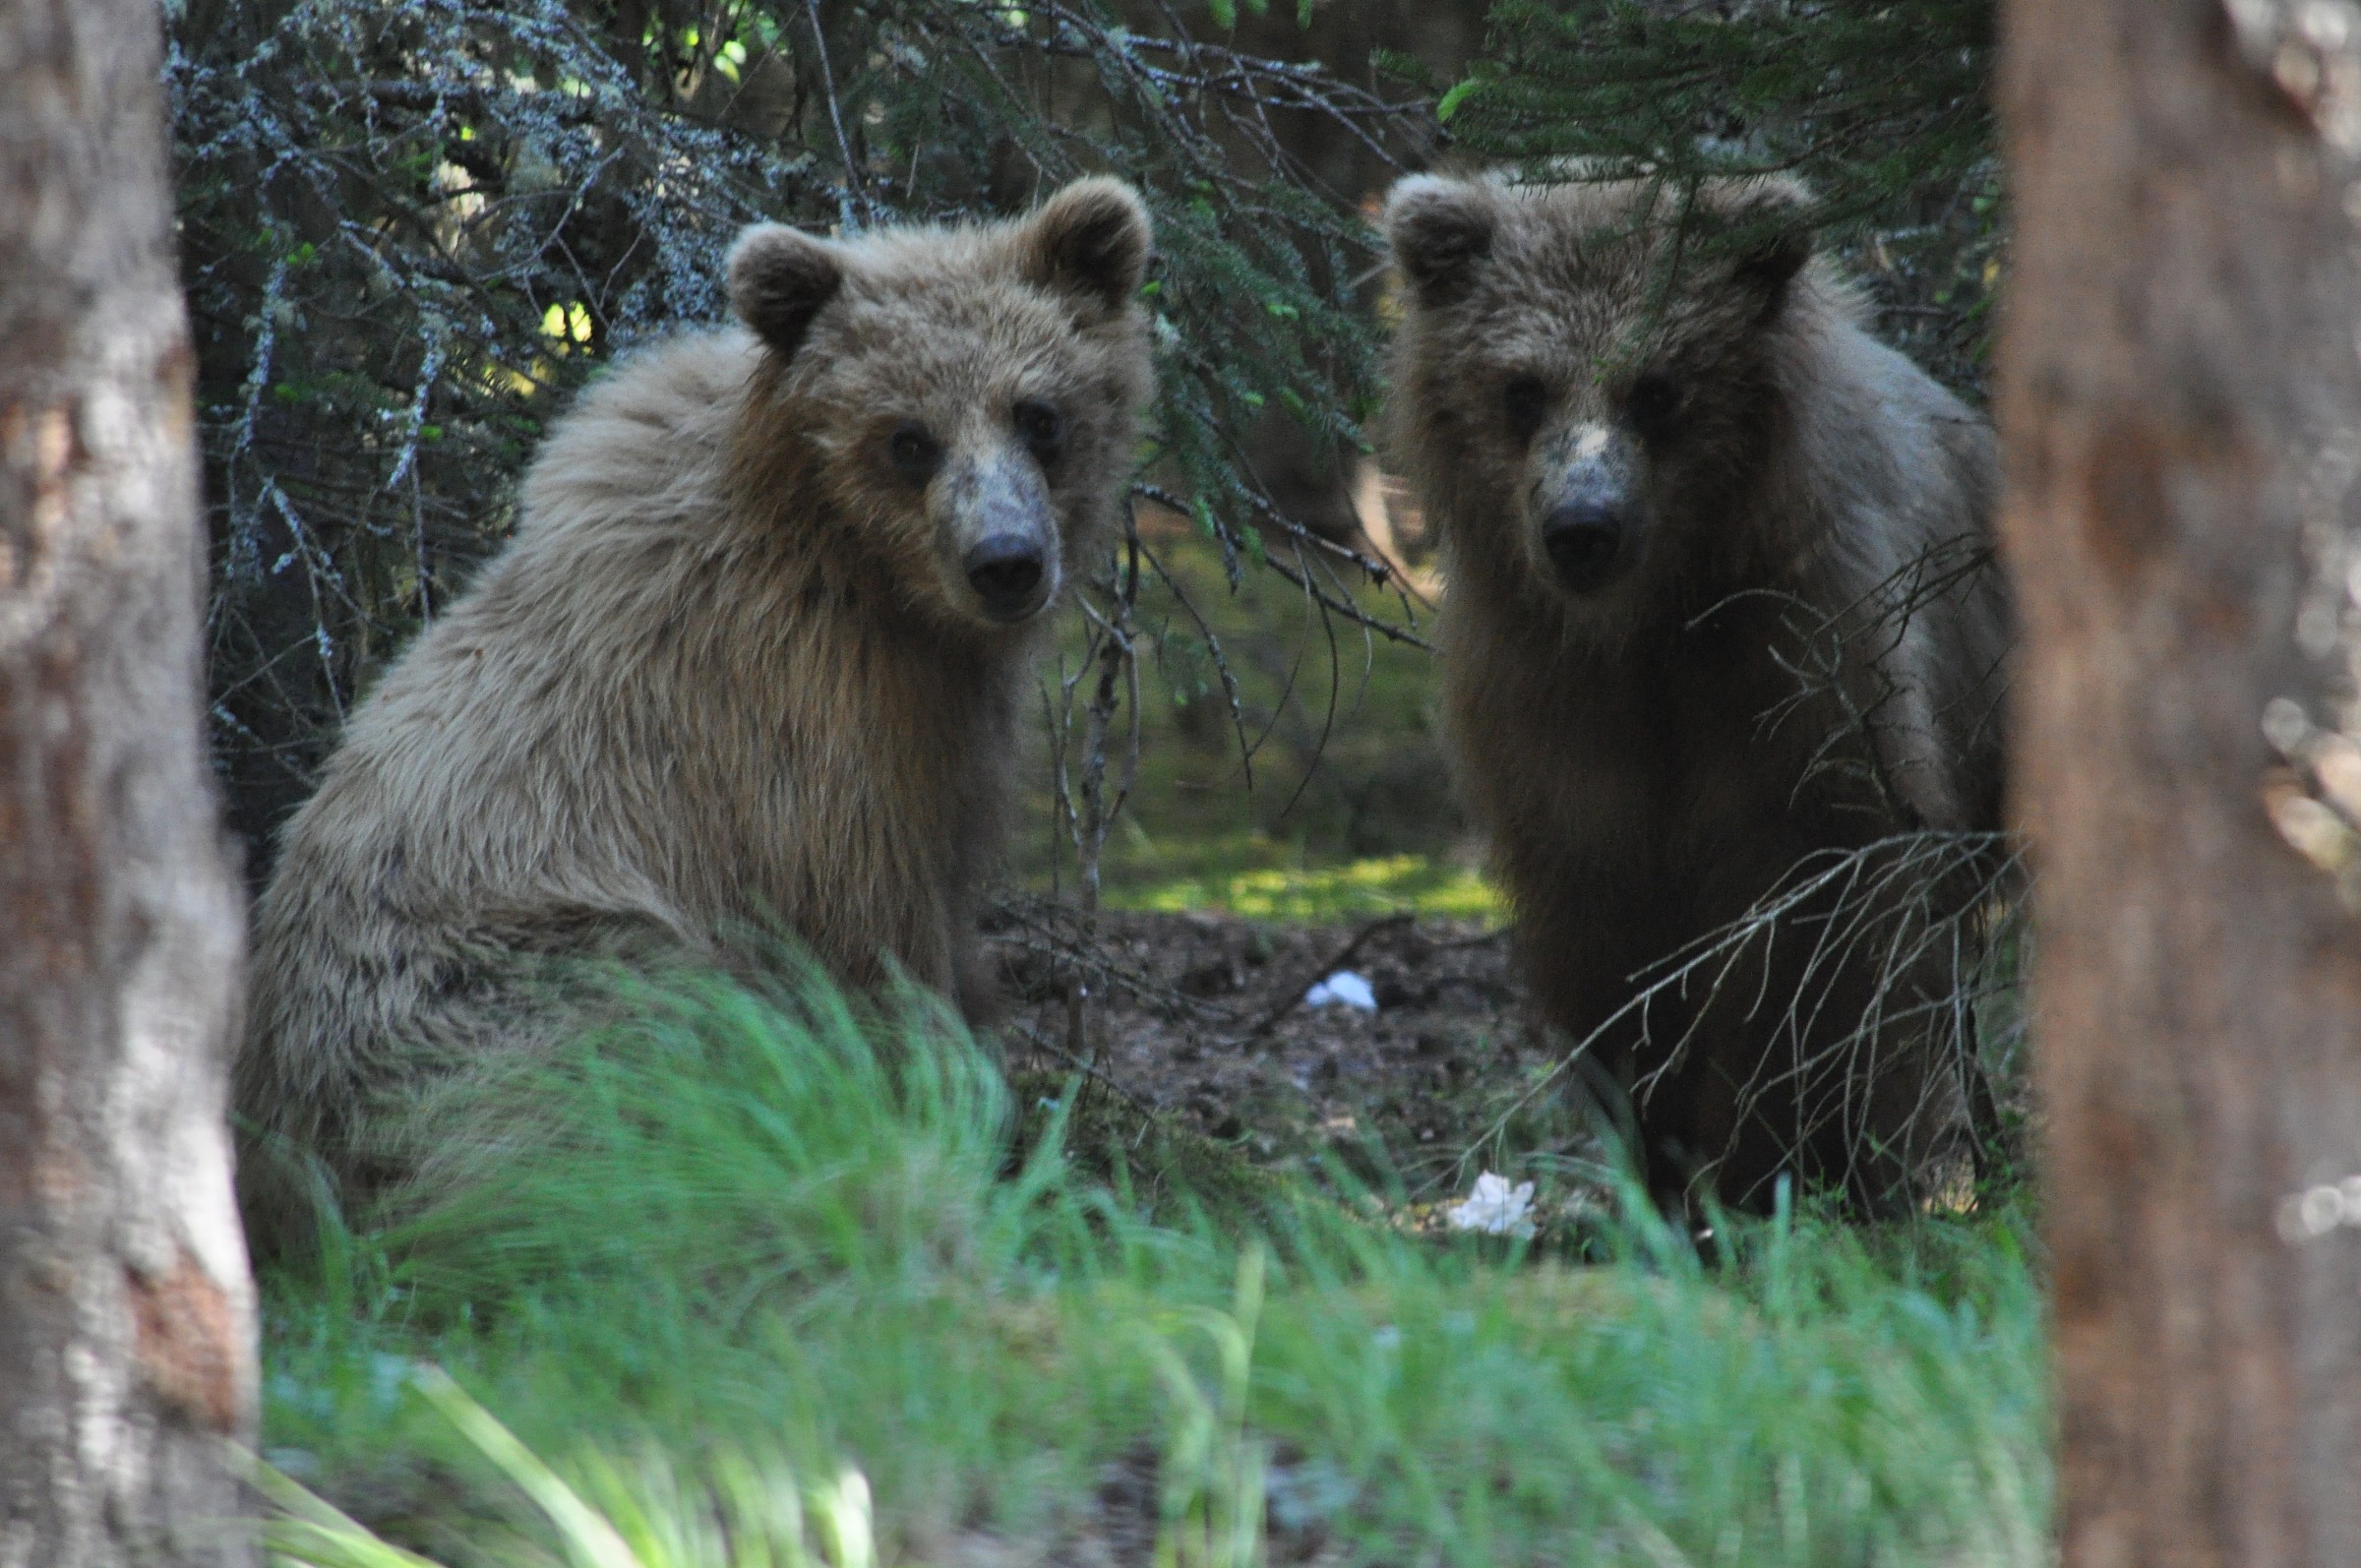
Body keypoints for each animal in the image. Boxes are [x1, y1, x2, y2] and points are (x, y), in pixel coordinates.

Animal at [238, 179, 1155, 1244]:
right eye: (908, 437)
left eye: (1037, 411)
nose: (1005, 560)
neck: (869, 578)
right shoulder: (810, 730)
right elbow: (872, 948)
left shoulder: (946, 732)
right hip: (508, 988)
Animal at [1381, 170, 2010, 1214]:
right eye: (1522, 386)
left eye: (1658, 386)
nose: (1582, 527)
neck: (1649, 630)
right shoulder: (1551, 714)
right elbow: (1614, 952)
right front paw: (1666, 1156)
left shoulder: (1799, 676)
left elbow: (1818, 943)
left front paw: (1792, 1161)